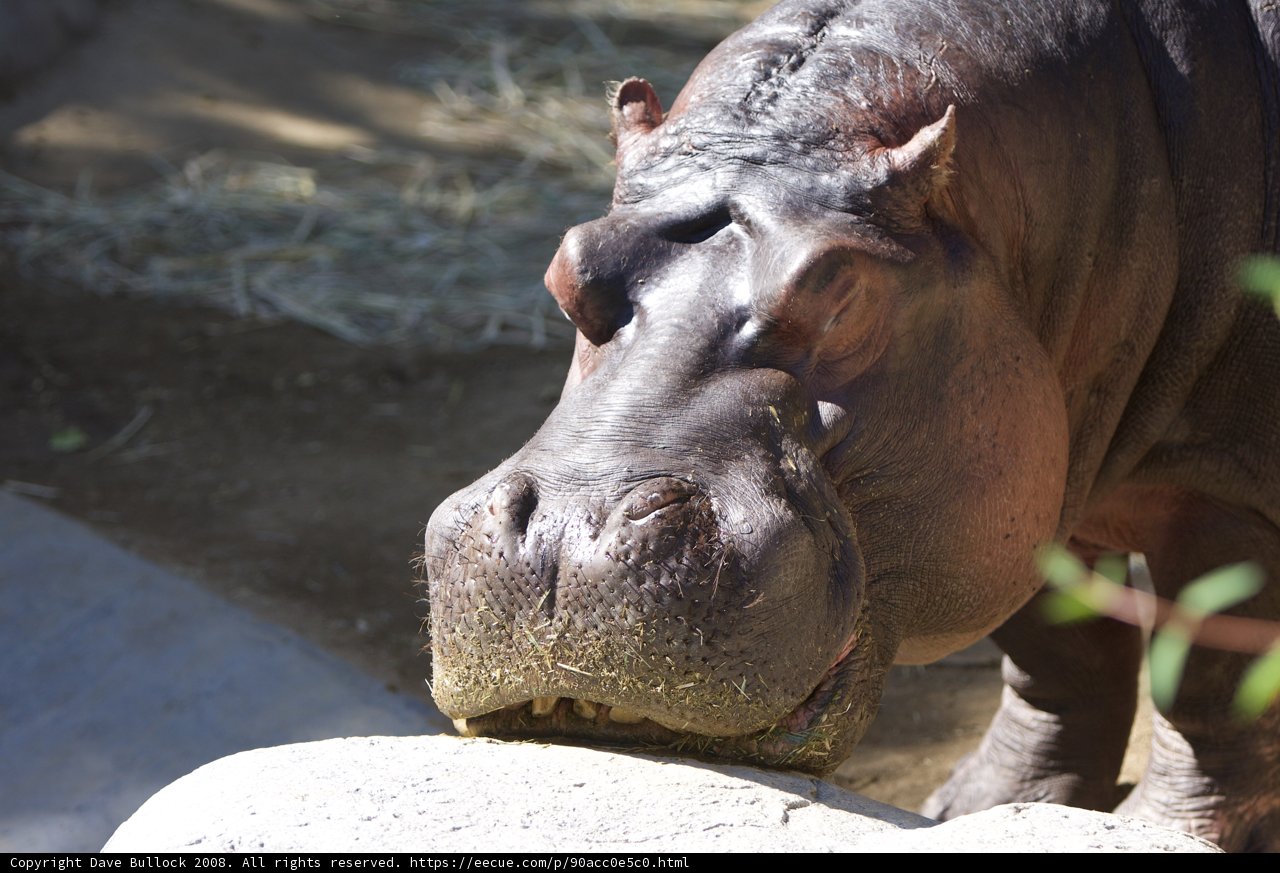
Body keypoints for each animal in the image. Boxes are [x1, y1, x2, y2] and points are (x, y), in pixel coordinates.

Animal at [424, 0, 1280, 851]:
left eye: (840, 293)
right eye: (567, 268)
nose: (561, 537)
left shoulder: (1231, 499)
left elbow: (1208, 692)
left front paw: (1163, 830)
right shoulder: (1037, 476)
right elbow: (1063, 651)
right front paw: (977, 807)